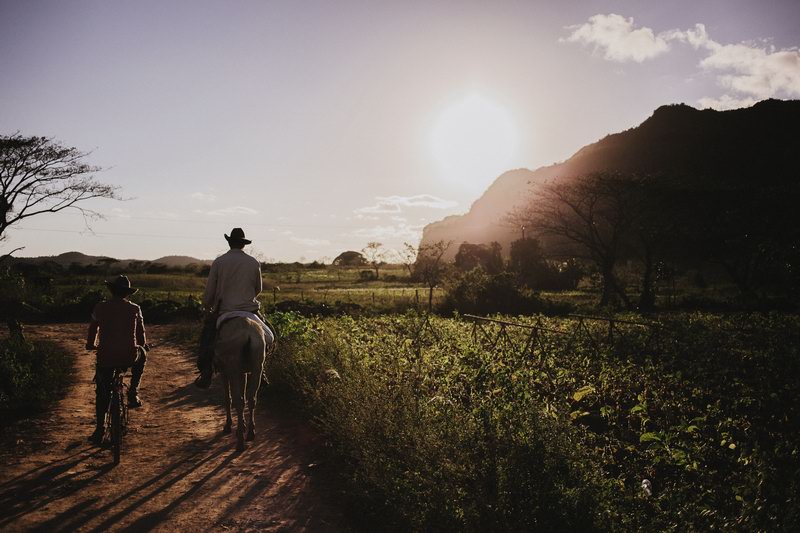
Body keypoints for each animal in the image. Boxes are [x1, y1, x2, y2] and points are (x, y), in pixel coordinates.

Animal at [214, 318, 270, 450]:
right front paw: (243, 425)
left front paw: (228, 425)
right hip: (257, 367)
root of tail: (248, 335)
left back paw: (240, 442)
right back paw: (250, 433)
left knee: (238, 401)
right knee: (252, 399)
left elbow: (228, 398)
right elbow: (244, 397)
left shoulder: (225, 371)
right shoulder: (243, 372)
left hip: (234, 369)